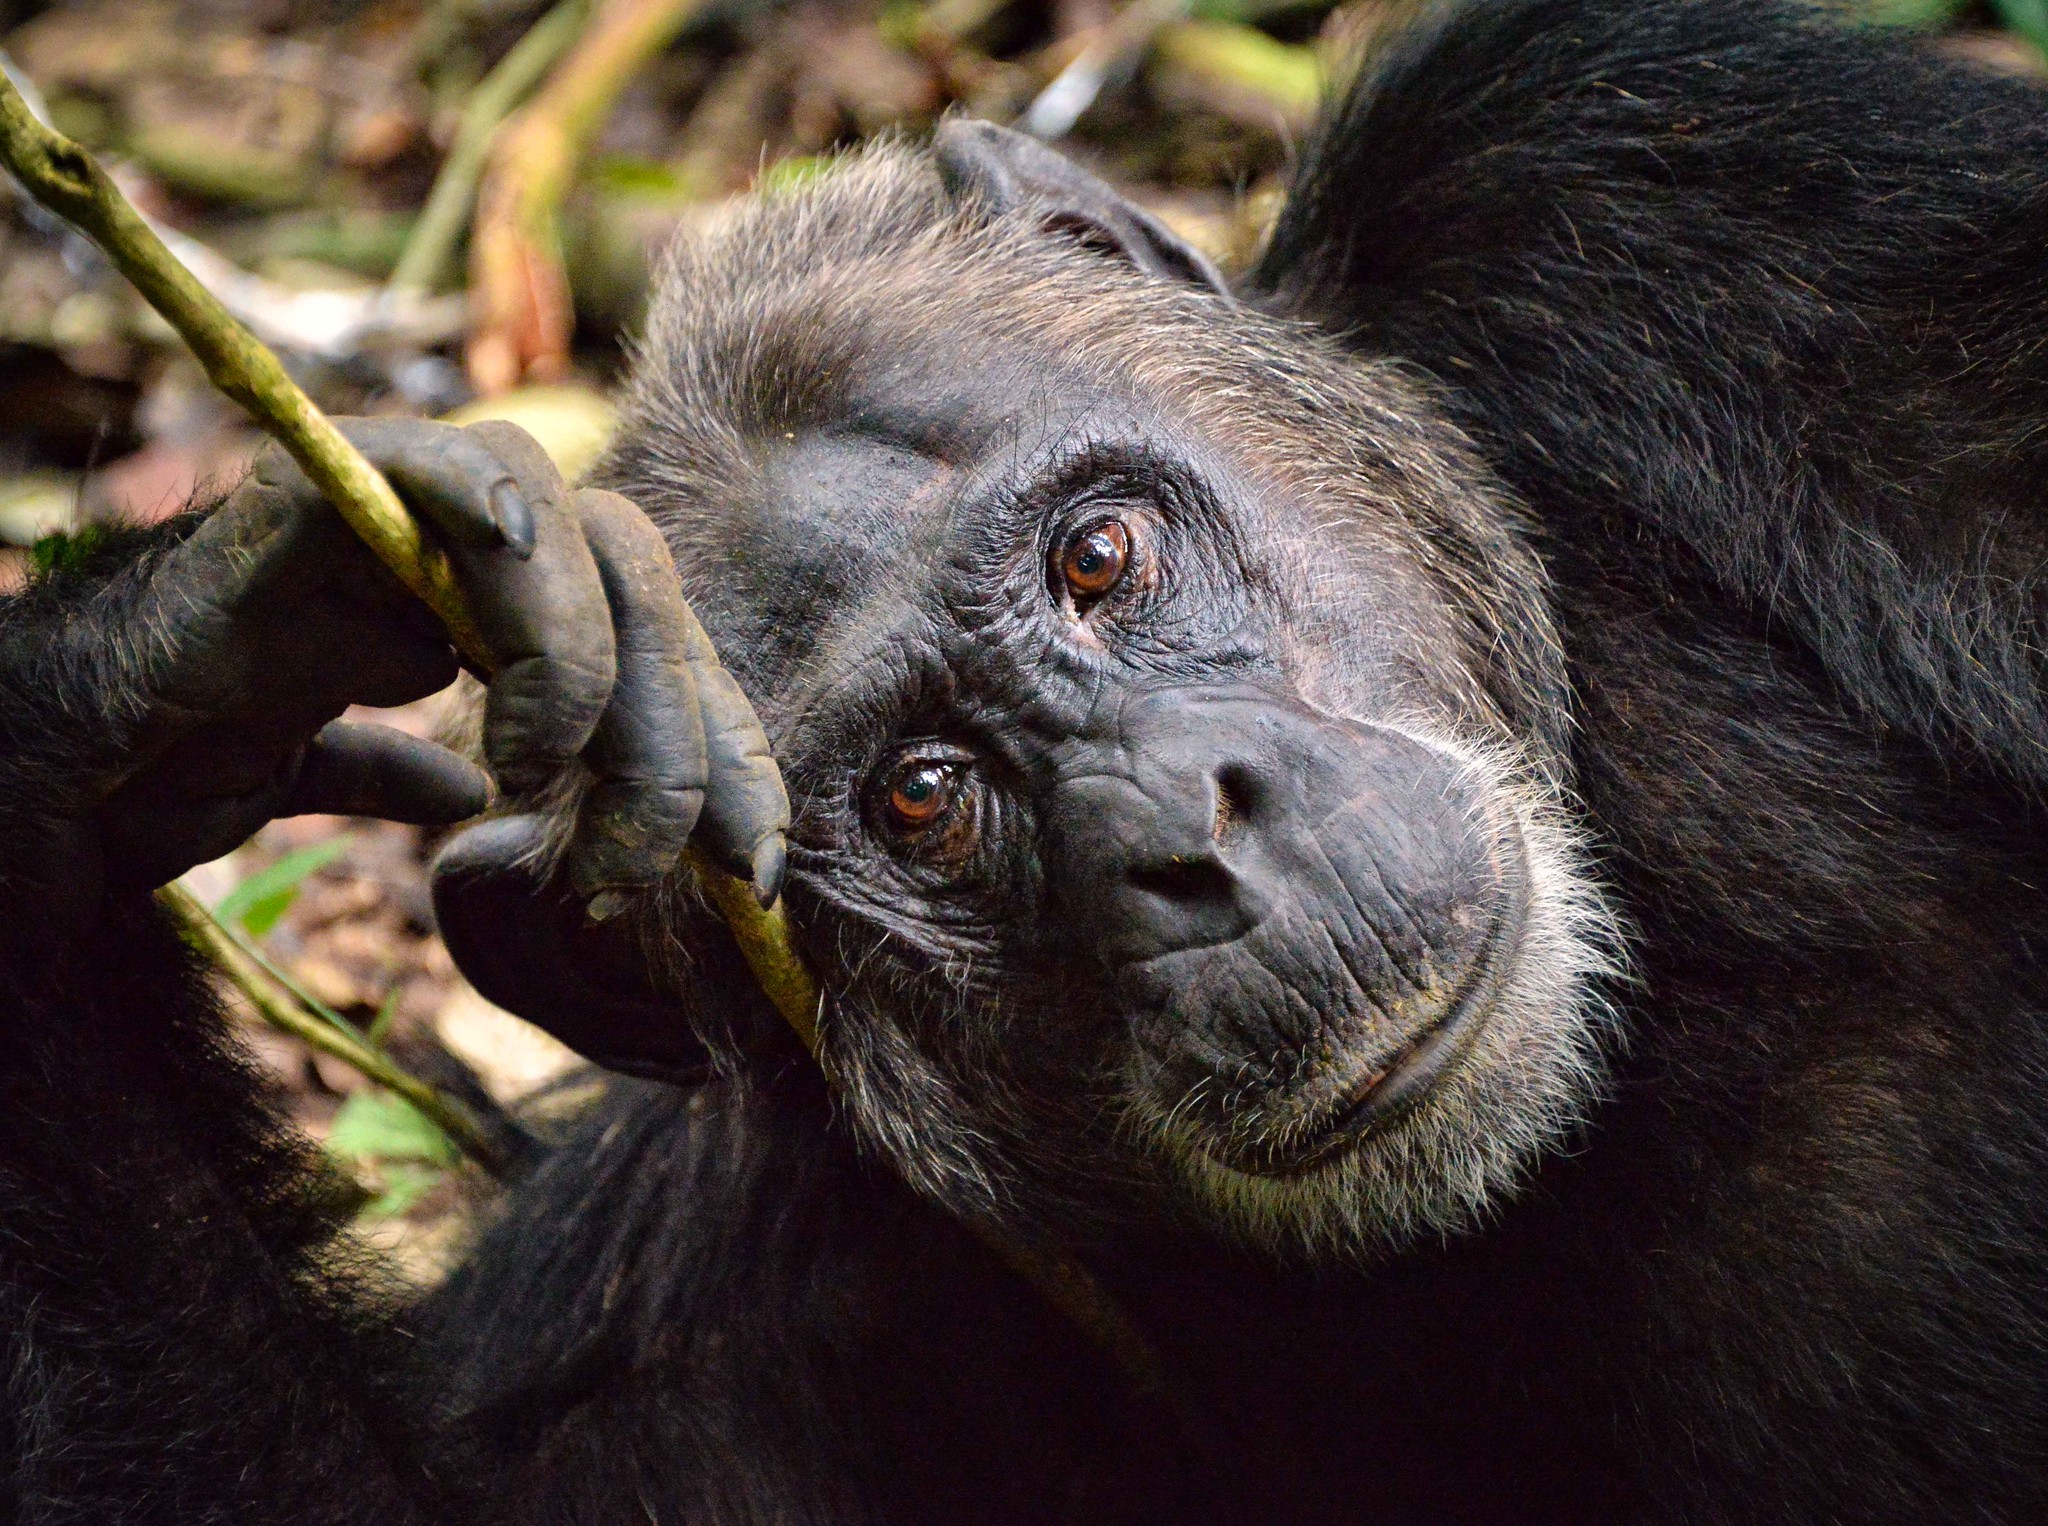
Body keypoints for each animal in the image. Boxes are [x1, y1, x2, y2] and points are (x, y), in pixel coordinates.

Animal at [4, 0, 2048, 1515]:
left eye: (1098, 558)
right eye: (922, 798)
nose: (1186, 836)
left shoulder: (1652, 180)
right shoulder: (700, 1307)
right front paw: (179, 659)